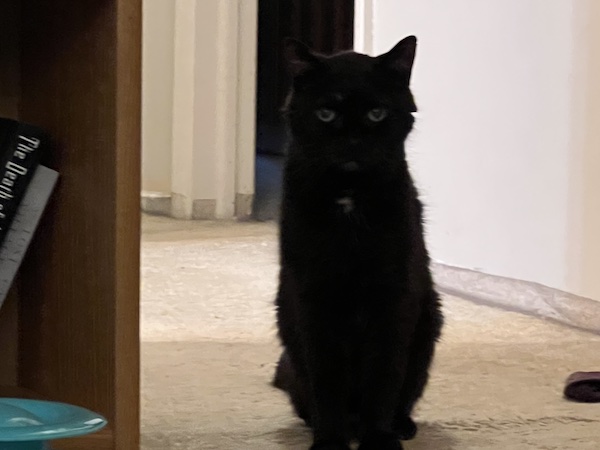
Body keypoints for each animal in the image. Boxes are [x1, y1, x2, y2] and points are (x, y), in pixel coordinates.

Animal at [274, 37, 442, 450]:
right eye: (326, 113)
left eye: (377, 113)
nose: (352, 143)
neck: (349, 198)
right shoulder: (314, 298)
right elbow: (328, 377)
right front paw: (331, 442)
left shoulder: (393, 297)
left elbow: (382, 377)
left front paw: (378, 439)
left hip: (428, 323)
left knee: (403, 392)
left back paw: (400, 426)